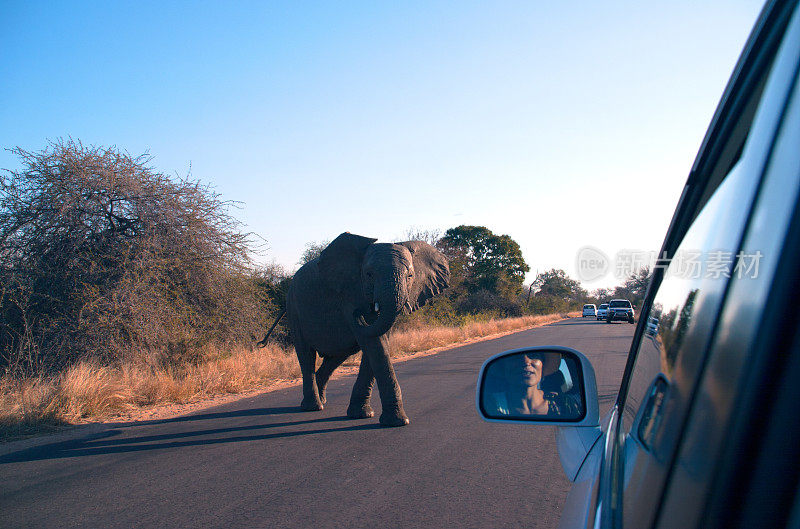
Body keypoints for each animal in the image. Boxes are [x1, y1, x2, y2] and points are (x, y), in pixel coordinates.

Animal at [278, 231, 446, 424]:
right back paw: (313, 406)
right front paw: (397, 422)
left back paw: (321, 400)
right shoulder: (349, 294)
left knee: (337, 356)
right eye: (369, 274)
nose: (359, 312)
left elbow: (379, 343)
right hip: (294, 308)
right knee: (306, 354)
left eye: (410, 276)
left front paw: (362, 414)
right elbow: (374, 343)